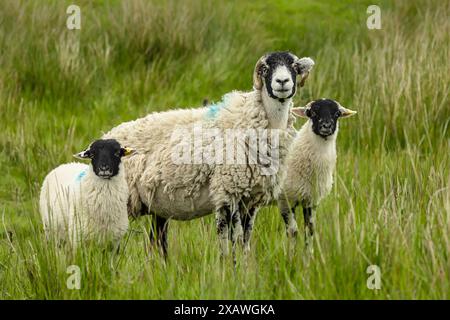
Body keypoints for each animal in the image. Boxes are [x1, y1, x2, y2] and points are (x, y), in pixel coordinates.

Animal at [103, 53, 314, 258]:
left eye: (294, 67)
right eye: (265, 68)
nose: (282, 81)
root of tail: (106, 136)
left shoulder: (251, 198)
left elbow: (245, 239)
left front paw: (245, 265)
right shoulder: (228, 191)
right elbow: (231, 238)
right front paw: (229, 266)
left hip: (158, 208)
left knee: (158, 241)